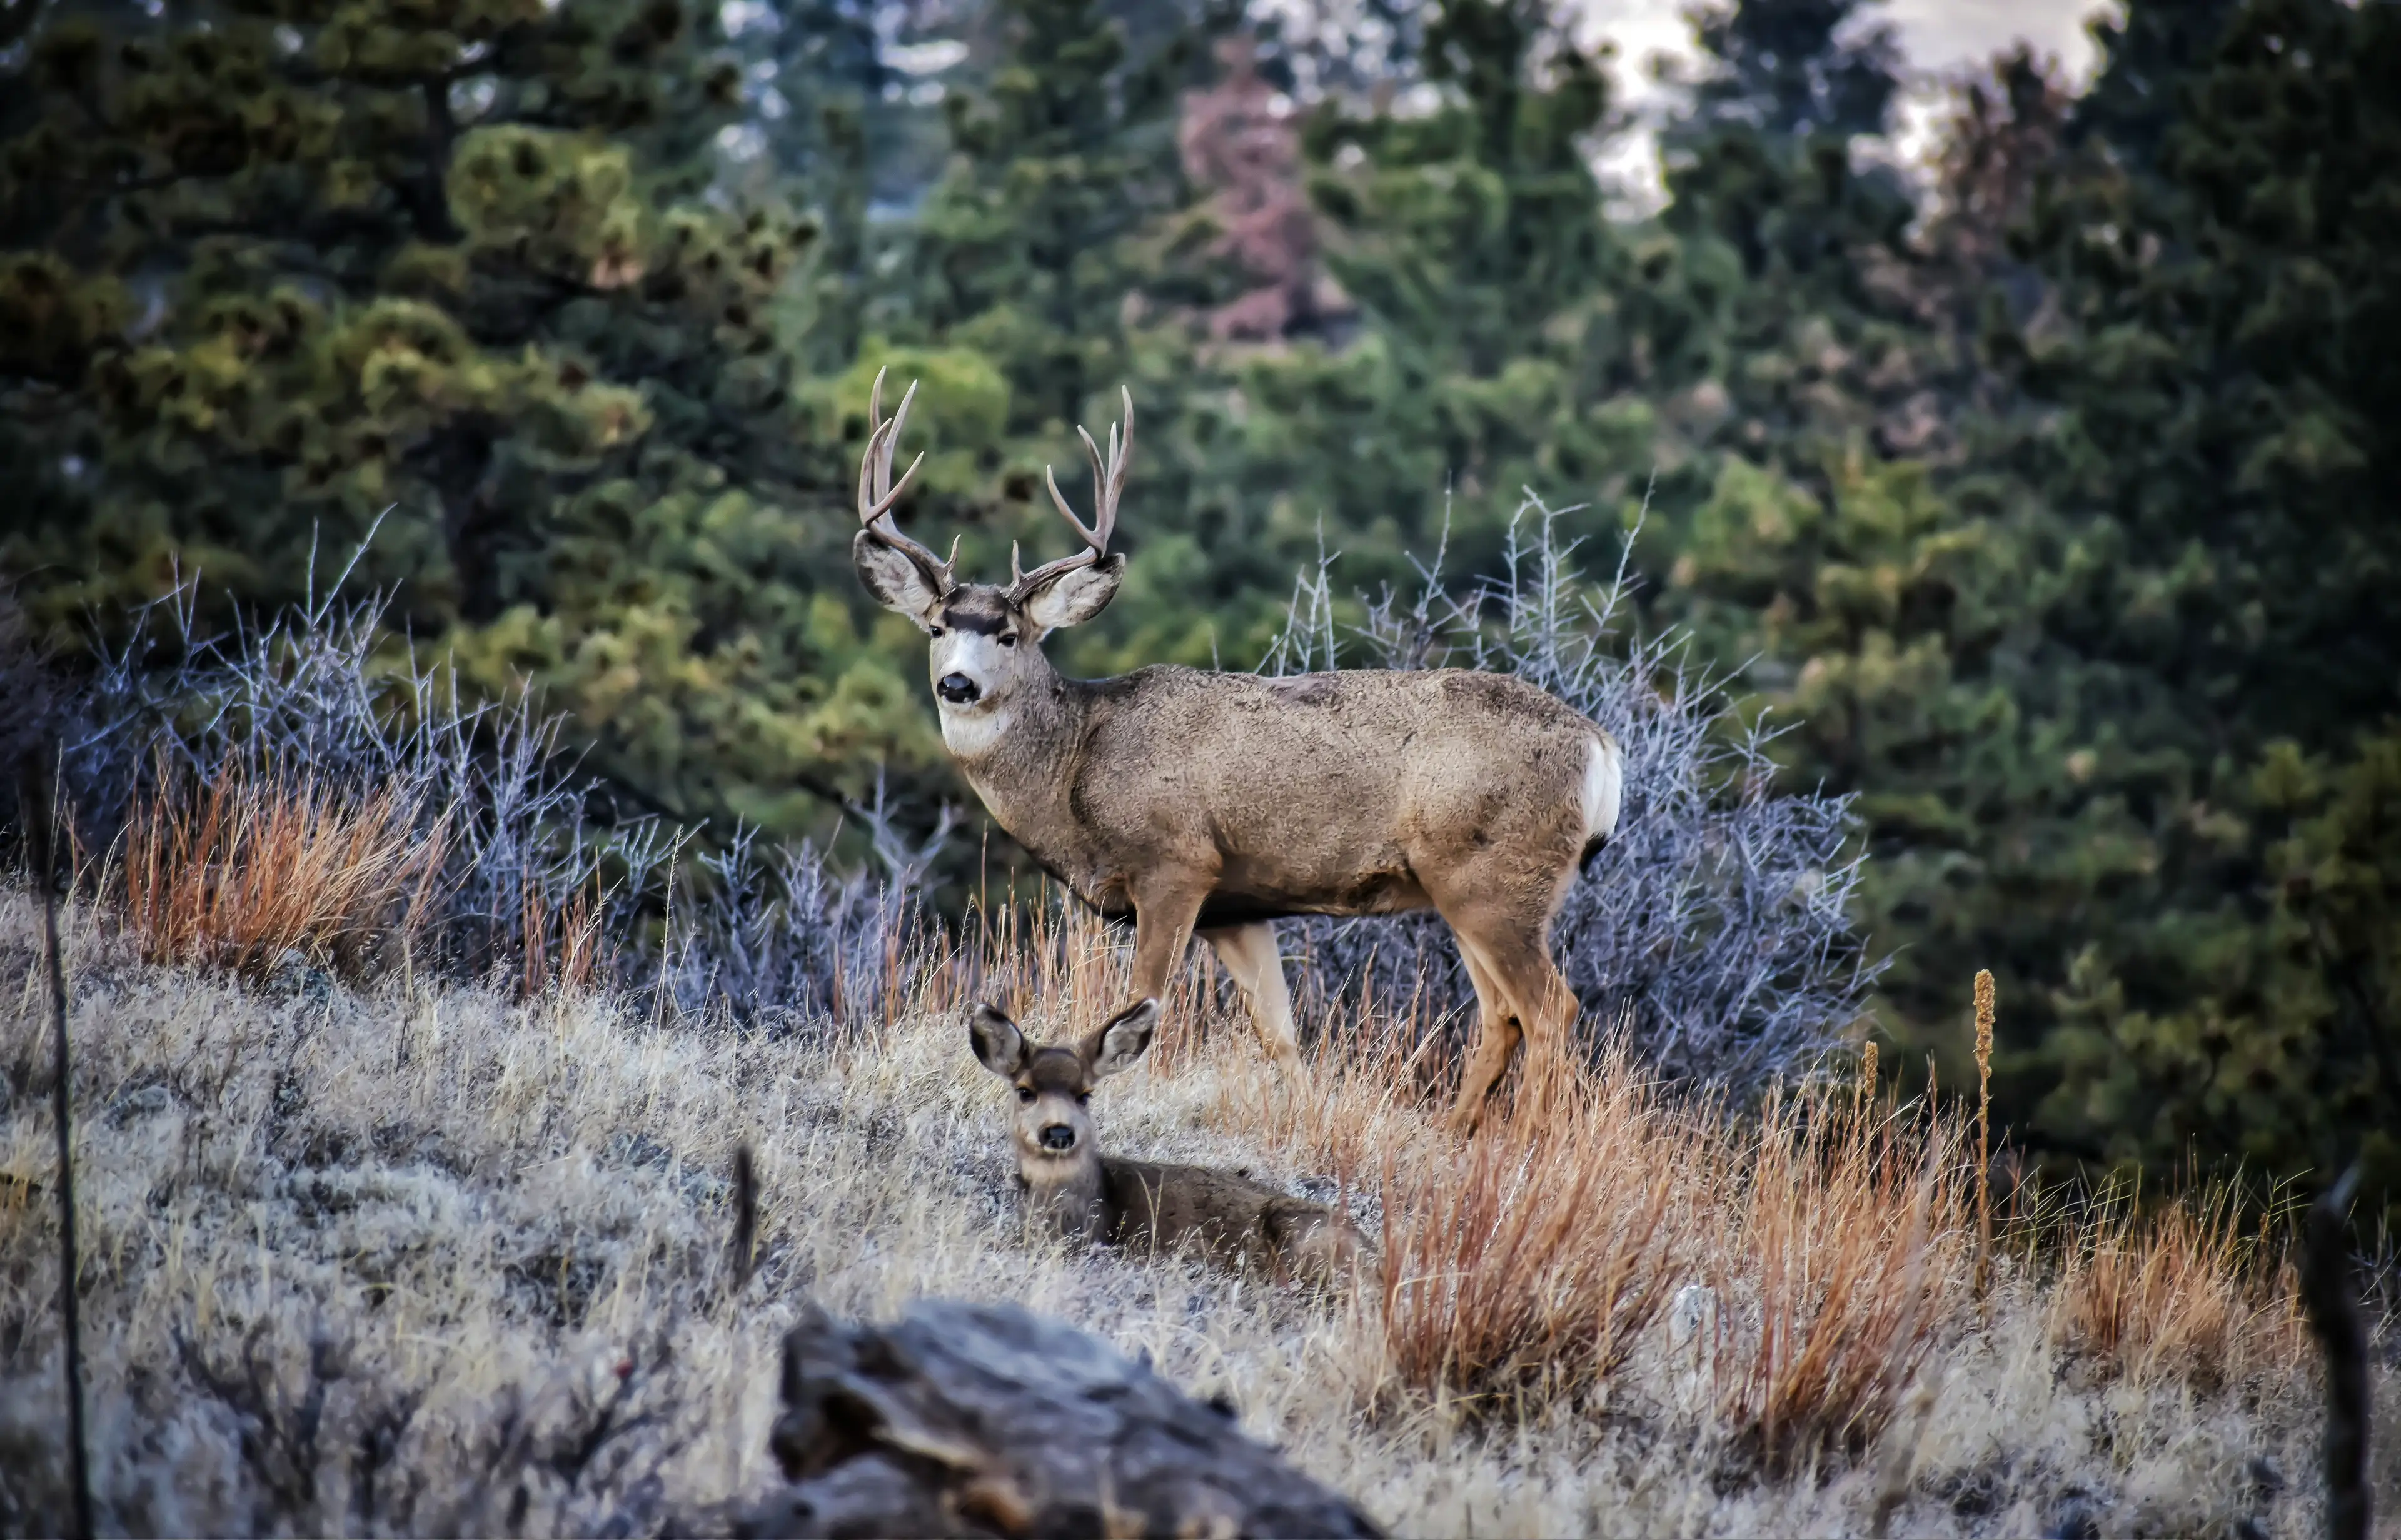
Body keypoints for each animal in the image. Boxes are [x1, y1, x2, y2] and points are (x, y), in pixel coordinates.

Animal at [852, 371, 1622, 1135]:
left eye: (1009, 634)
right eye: (936, 627)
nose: (958, 683)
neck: (1076, 763)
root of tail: (1601, 746)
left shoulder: (1176, 863)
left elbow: (1145, 1004)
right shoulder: (1238, 907)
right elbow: (1279, 1032)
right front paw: (1306, 1121)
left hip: (1495, 877)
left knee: (1550, 1009)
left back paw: (1524, 1143)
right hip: (1462, 886)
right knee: (1502, 1016)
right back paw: (1457, 1136)